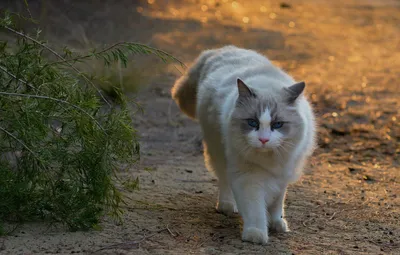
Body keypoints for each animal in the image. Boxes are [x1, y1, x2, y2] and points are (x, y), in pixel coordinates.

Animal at [170, 46, 318, 245]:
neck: (269, 159)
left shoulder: (283, 174)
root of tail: (217, 51)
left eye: (277, 124)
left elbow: (277, 203)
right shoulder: (249, 177)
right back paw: (227, 206)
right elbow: (255, 209)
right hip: (219, 152)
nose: (263, 140)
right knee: (224, 180)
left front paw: (277, 223)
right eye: (252, 123)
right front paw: (256, 234)